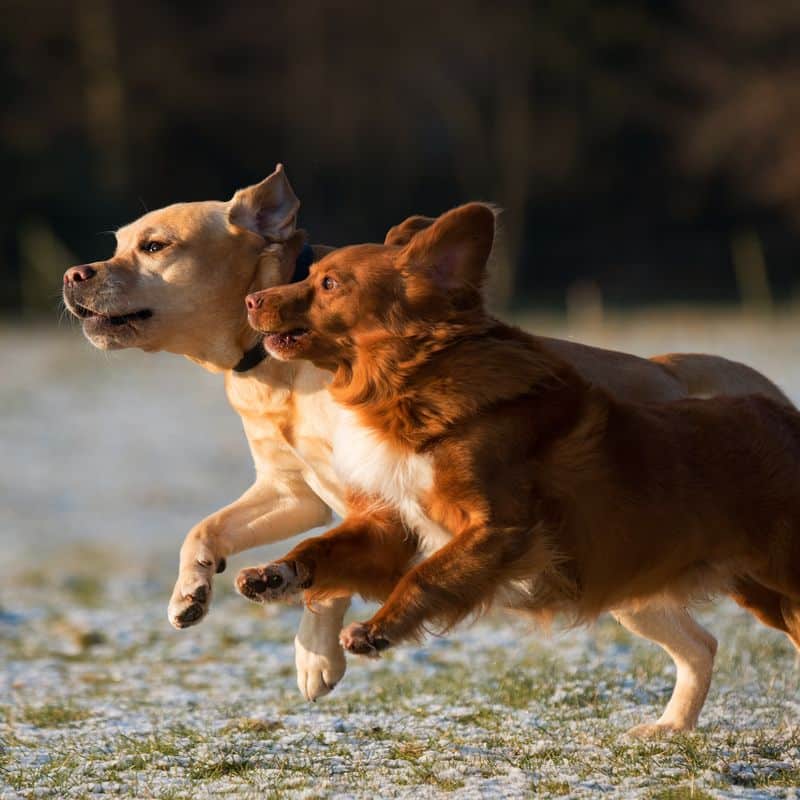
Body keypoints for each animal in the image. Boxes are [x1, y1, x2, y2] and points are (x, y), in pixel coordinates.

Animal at [242, 203, 800, 736]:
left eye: (329, 284)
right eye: (311, 274)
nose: (251, 300)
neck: (411, 386)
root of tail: (782, 414)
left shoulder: (501, 529)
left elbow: (427, 577)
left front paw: (376, 630)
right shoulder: (395, 526)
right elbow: (323, 547)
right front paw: (274, 575)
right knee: (702, 645)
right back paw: (669, 727)